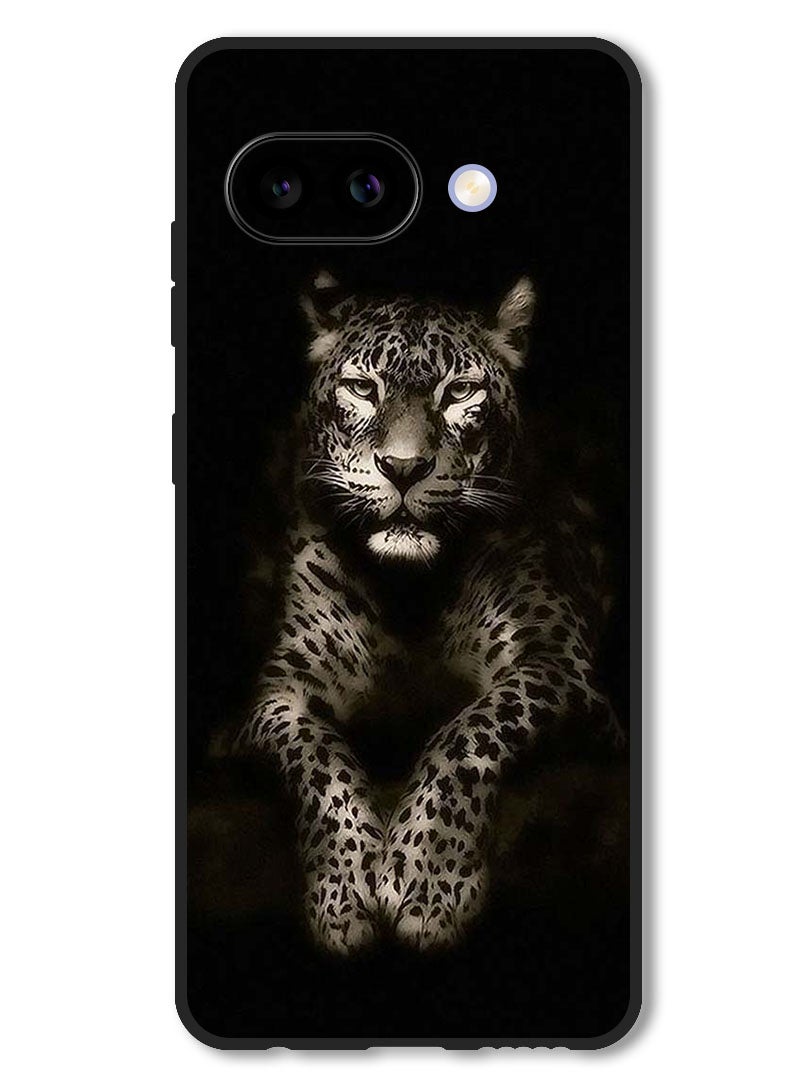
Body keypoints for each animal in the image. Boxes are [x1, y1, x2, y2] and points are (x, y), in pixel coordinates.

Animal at [234, 270, 624, 954]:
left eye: (459, 392)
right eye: (363, 389)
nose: (404, 467)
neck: (409, 593)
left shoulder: (558, 663)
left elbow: (469, 731)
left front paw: (427, 881)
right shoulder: (278, 691)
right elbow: (317, 757)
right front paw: (343, 891)